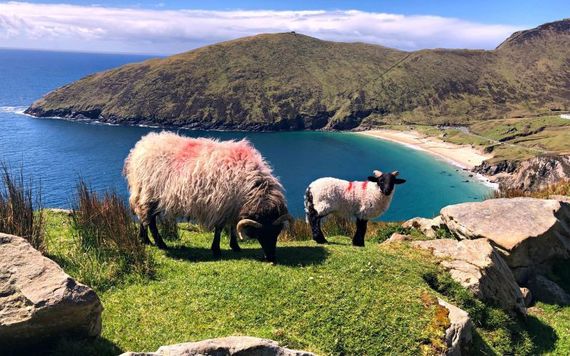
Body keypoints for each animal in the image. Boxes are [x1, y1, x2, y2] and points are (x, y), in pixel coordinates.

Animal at [125, 132, 292, 262]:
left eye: (277, 232)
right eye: (261, 234)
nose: (271, 258)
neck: (249, 184)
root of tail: (141, 146)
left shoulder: (232, 206)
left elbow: (232, 227)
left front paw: (235, 246)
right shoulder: (221, 205)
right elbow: (219, 228)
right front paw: (216, 249)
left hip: (149, 196)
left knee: (145, 217)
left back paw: (144, 240)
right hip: (148, 193)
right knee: (149, 220)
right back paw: (159, 244)